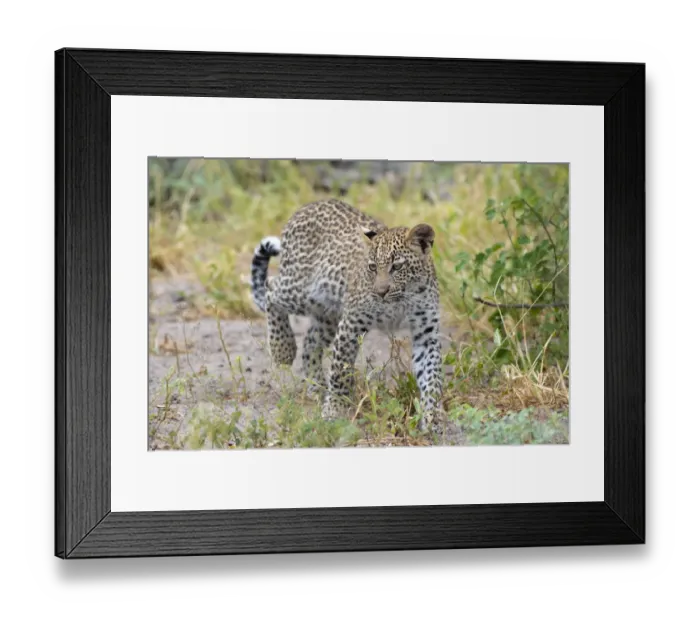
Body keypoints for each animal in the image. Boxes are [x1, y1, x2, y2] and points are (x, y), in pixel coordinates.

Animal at [250, 198, 443, 432]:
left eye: (397, 266)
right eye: (372, 267)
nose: (381, 292)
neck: (401, 302)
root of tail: (305, 208)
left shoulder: (426, 333)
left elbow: (432, 377)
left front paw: (433, 417)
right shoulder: (352, 322)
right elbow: (340, 370)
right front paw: (334, 410)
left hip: (328, 312)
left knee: (310, 343)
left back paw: (318, 387)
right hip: (301, 291)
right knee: (270, 288)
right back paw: (283, 349)